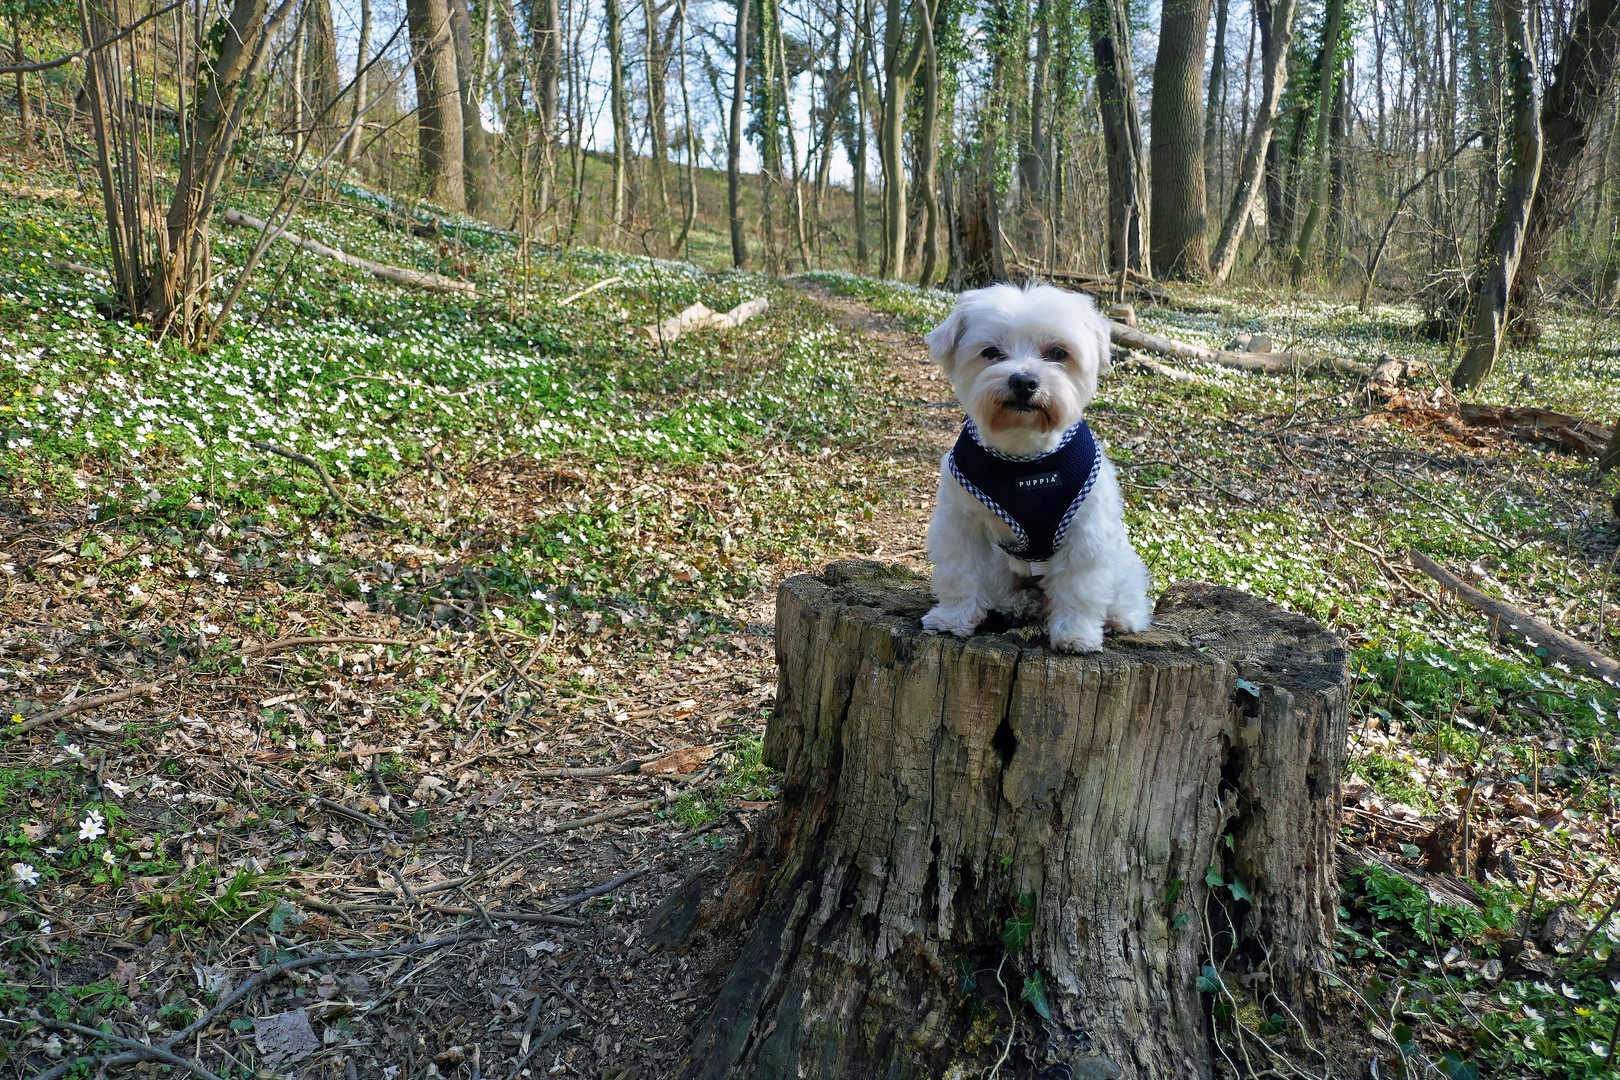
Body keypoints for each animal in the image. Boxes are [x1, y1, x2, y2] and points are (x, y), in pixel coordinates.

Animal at [926, 283, 1153, 650]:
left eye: (1058, 352)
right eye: (991, 352)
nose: (1023, 381)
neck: (1025, 457)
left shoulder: (1084, 534)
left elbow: (1079, 588)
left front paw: (1076, 633)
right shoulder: (960, 523)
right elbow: (960, 572)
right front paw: (953, 618)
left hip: (1121, 560)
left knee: (1124, 591)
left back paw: (1122, 618)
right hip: (1001, 565)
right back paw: (1018, 604)